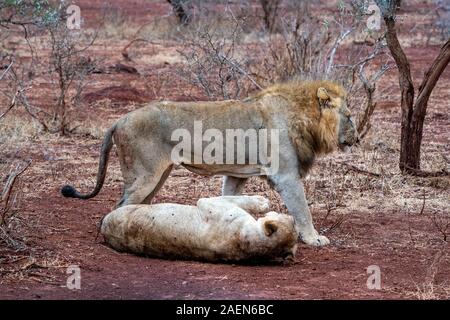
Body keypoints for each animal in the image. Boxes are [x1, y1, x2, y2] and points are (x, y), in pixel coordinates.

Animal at [63, 80, 358, 245]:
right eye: (350, 116)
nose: (357, 138)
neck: (305, 119)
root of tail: (118, 120)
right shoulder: (285, 174)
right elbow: (303, 209)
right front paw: (314, 238)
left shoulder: (238, 174)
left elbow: (228, 195)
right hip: (144, 174)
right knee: (120, 206)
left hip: (159, 174)